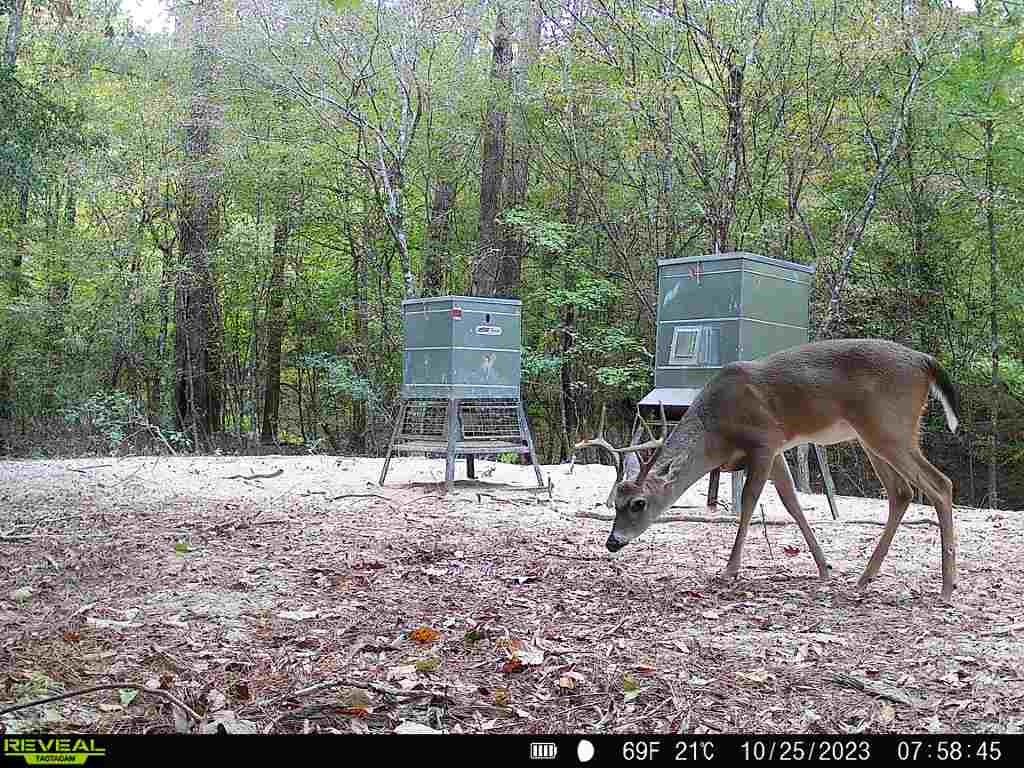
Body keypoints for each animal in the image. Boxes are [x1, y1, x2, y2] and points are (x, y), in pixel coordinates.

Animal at [577, 342, 958, 602]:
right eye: (615, 502)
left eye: (638, 503)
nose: (612, 542)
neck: (718, 431)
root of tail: (926, 362)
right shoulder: (777, 450)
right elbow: (793, 504)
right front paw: (824, 569)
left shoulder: (763, 441)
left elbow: (748, 503)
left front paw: (729, 570)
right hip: (873, 436)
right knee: (902, 492)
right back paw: (865, 577)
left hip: (889, 427)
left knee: (940, 484)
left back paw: (946, 587)